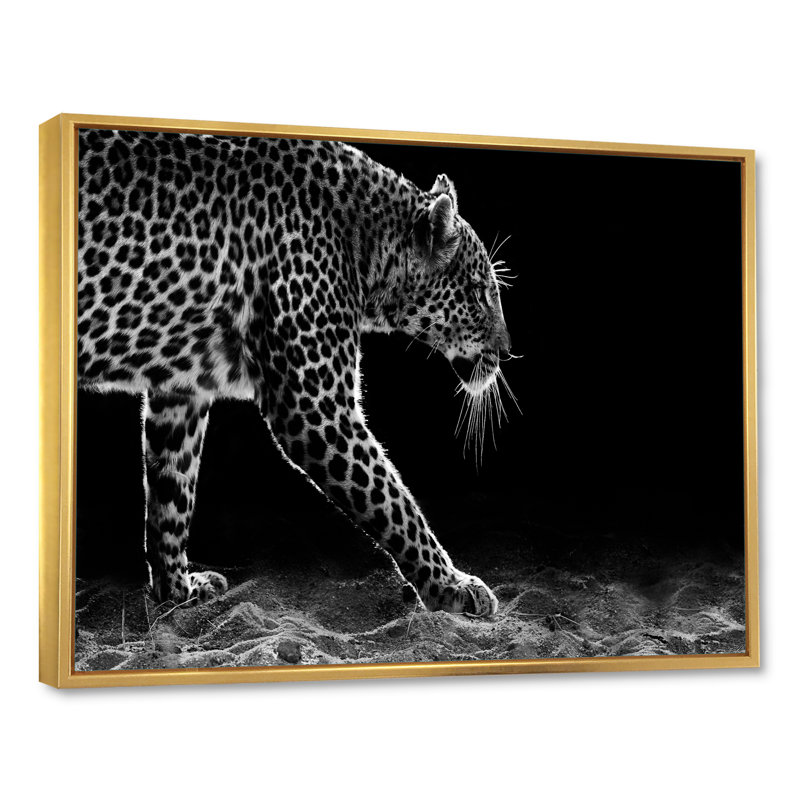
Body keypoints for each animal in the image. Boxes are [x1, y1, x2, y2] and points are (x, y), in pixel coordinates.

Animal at [77, 127, 512, 617]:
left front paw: (177, 592)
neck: (368, 244)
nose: (507, 352)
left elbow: (172, 494)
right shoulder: (316, 408)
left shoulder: (180, 390)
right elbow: (392, 501)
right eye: (481, 292)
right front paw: (450, 586)